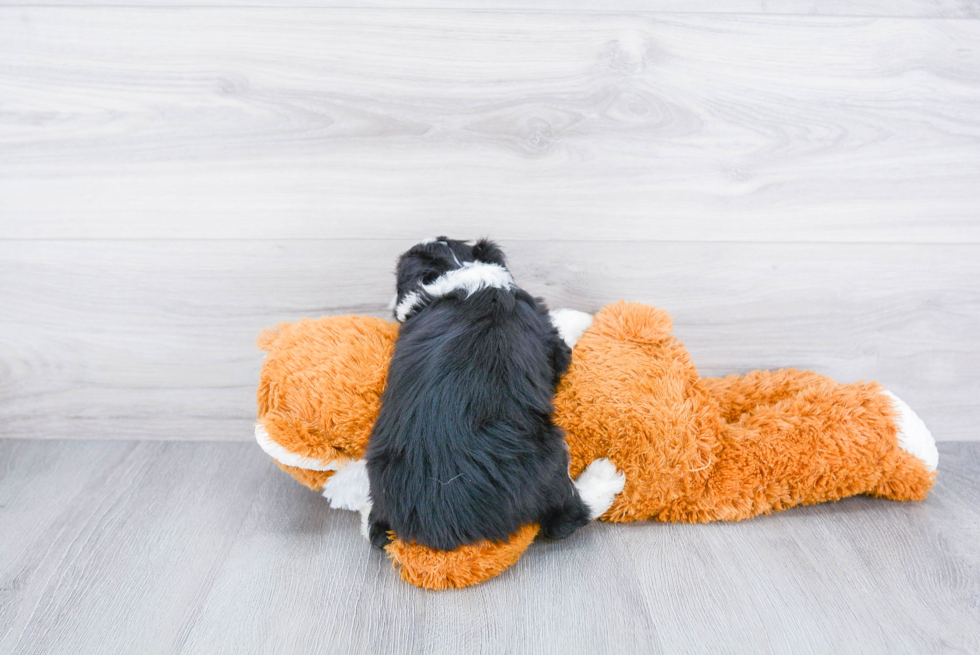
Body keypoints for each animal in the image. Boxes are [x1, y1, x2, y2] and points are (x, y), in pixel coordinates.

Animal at [364, 238, 624, 552]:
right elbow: (560, 327)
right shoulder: (548, 338)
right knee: (566, 516)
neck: (460, 270)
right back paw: (605, 476)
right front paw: (583, 317)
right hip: (547, 456)